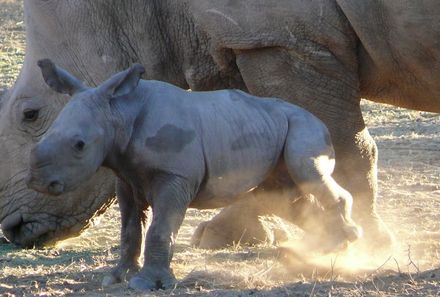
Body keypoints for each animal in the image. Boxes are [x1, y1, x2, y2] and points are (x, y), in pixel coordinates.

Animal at [0, 1, 438, 249]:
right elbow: (243, 150)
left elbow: (349, 149)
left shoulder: (283, 41)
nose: (13, 228)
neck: (132, 11)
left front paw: (367, 243)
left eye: (30, 115)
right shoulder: (238, 39)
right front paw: (224, 237)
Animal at [26, 59, 360, 290]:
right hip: (271, 129)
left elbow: (160, 228)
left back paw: (347, 240)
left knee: (308, 172)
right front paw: (117, 278)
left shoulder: (175, 176)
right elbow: (130, 228)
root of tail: (319, 119)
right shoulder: (126, 176)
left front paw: (147, 284)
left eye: (79, 145)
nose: (38, 183)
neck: (119, 113)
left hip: (304, 126)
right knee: (284, 196)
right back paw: (332, 246)